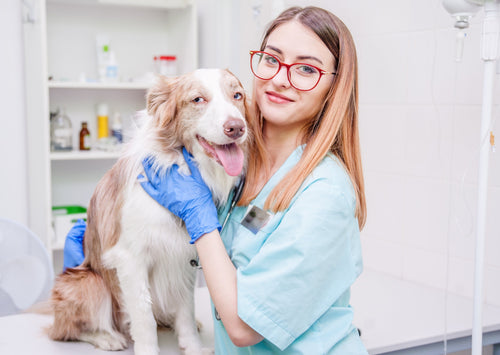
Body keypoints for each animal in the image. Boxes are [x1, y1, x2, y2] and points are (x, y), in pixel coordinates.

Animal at [47, 68, 250, 354]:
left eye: (237, 95)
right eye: (197, 99)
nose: (236, 127)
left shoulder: (185, 259)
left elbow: (185, 310)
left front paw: (193, 346)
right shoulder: (130, 259)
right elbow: (143, 316)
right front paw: (148, 348)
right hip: (86, 282)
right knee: (66, 330)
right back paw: (106, 337)